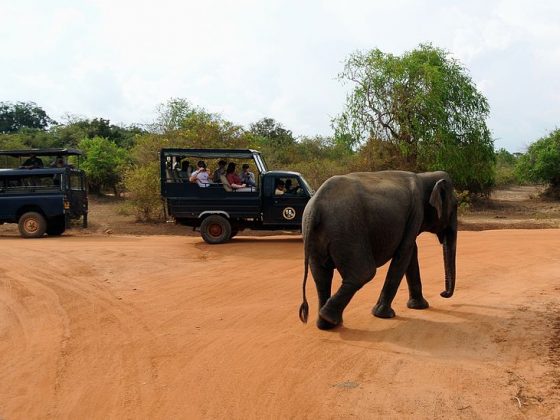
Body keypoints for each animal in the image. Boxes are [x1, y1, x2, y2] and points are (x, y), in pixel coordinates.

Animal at [300, 169, 458, 330]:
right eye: (456, 206)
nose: (443, 293)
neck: (424, 176)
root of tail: (315, 207)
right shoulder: (416, 212)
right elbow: (405, 251)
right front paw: (384, 315)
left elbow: (411, 251)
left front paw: (419, 307)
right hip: (348, 231)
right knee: (364, 273)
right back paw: (329, 317)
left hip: (317, 235)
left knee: (321, 276)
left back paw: (326, 324)